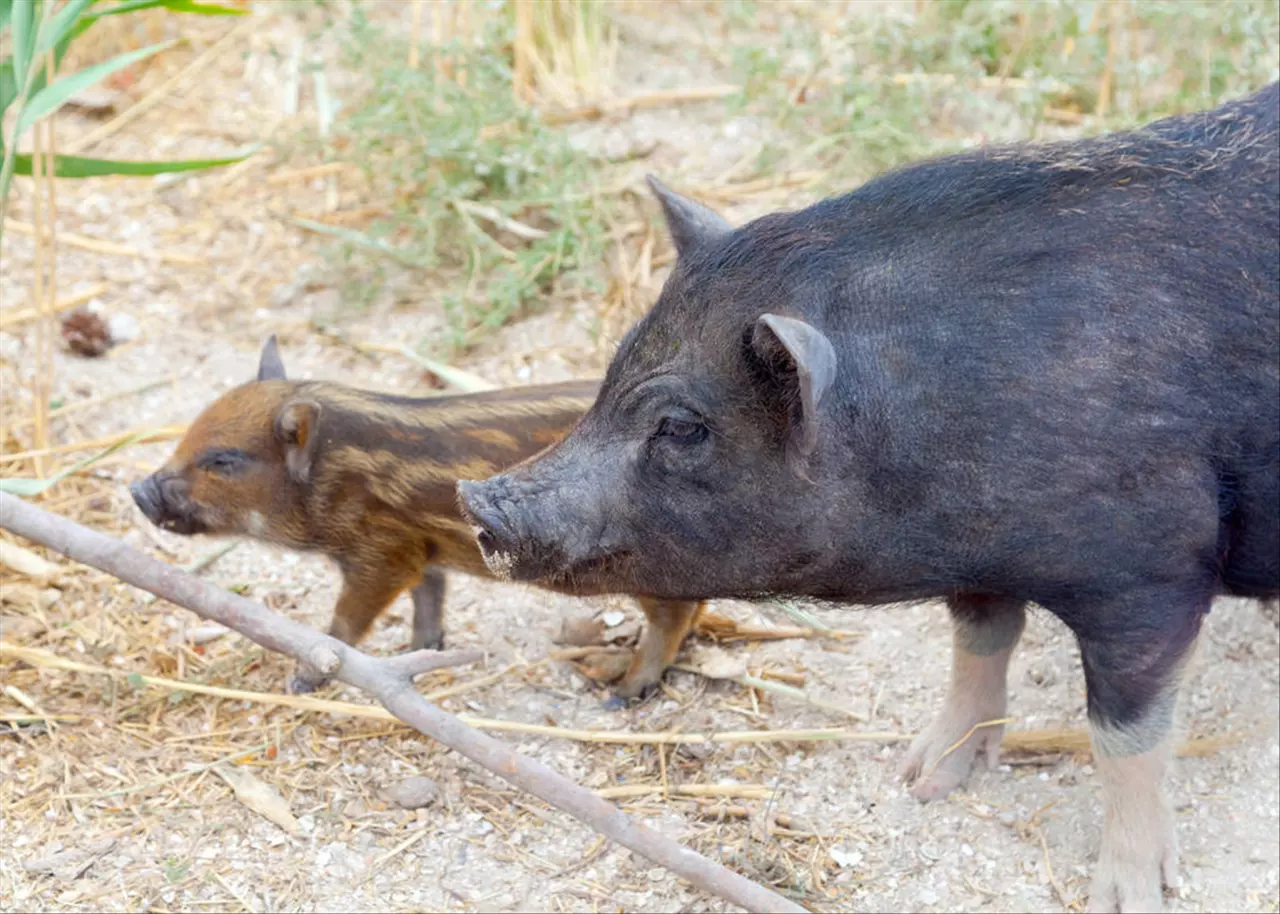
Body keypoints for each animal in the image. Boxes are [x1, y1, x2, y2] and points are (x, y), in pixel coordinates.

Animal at [460, 81, 1280, 906]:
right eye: (609, 374)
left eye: (683, 426)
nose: (477, 501)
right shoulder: (977, 567)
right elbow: (979, 645)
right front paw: (920, 779)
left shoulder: (1153, 573)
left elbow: (1125, 737)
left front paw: (1128, 895)